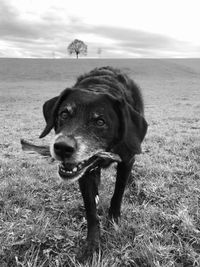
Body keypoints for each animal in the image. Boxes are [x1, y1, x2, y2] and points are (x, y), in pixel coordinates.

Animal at [39, 66, 148, 262]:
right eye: (64, 114)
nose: (62, 147)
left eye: (100, 121)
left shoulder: (126, 160)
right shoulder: (84, 172)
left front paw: (114, 220)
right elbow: (91, 209)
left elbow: (118, 193)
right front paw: (92, 245)